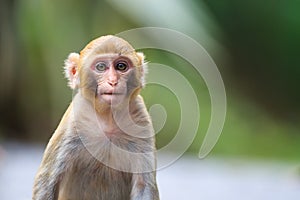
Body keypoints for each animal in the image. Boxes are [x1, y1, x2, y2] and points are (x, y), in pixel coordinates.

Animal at [32, 36, 159, 200]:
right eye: (101, 67)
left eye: (121, 66)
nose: (113, 81)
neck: (108, 118)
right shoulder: (73, 123)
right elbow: (46, 181)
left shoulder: (141, 122)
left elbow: (144, 185)